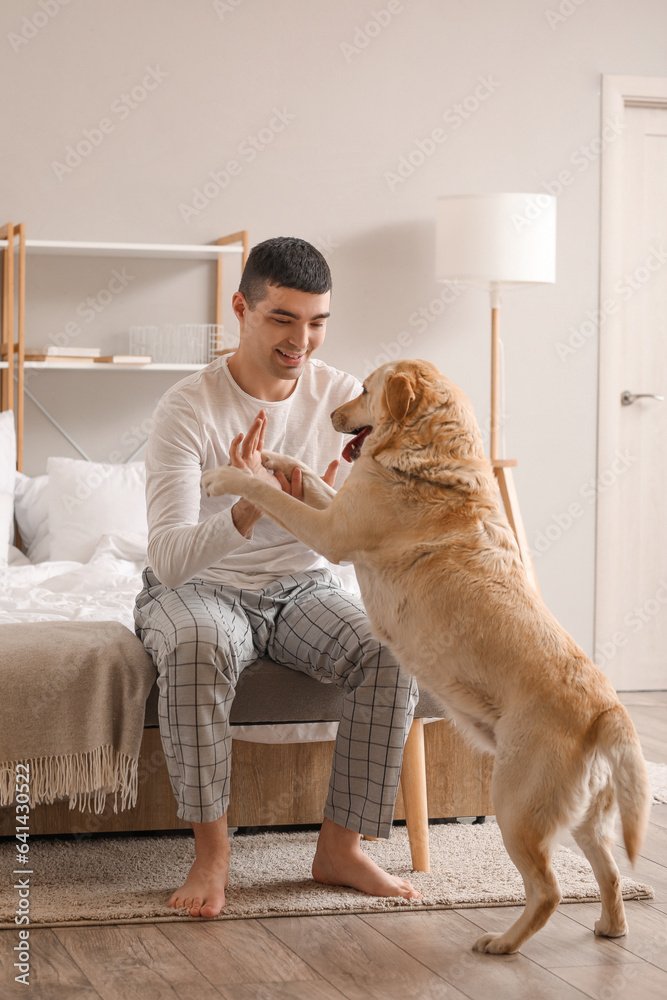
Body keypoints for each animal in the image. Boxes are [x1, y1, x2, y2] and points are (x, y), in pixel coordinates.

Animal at [204, 360, 652, 952]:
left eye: (364, 390)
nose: (333, 414)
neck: (431, 457)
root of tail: (608, 708)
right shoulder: (339, 507)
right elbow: (304, 473)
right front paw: (273, 457)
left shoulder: (333, 531)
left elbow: (270, 493)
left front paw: (228, 477)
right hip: (582, 816)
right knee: (611, 873)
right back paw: (609, 927)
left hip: (515, 806)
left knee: (549, 890)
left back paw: (502, 943)